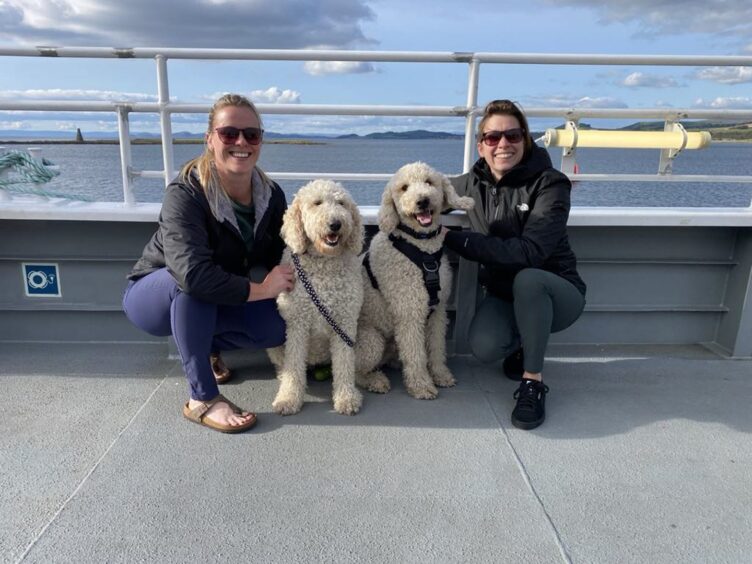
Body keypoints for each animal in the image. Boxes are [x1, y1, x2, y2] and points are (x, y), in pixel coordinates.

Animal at [268, 180, 366, 414]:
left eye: (341, 203)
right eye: (317, 203)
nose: (335, 224)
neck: (324, 262)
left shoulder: (345, 323)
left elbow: (344, 364)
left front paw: (347, 398)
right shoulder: (297, 325)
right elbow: (294, 365)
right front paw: (288, 398)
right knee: (285, 364)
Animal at [356, 161, 472, 398]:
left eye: (429, 182)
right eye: (404, 188)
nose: (422, 201)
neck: (421, 247)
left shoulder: (438, 311)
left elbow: (436, 347)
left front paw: (440, 375)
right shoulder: (409, 313)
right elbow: (416, 355)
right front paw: (421, 385)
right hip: (372, 341)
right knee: (352, 371)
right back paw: (376, 380)